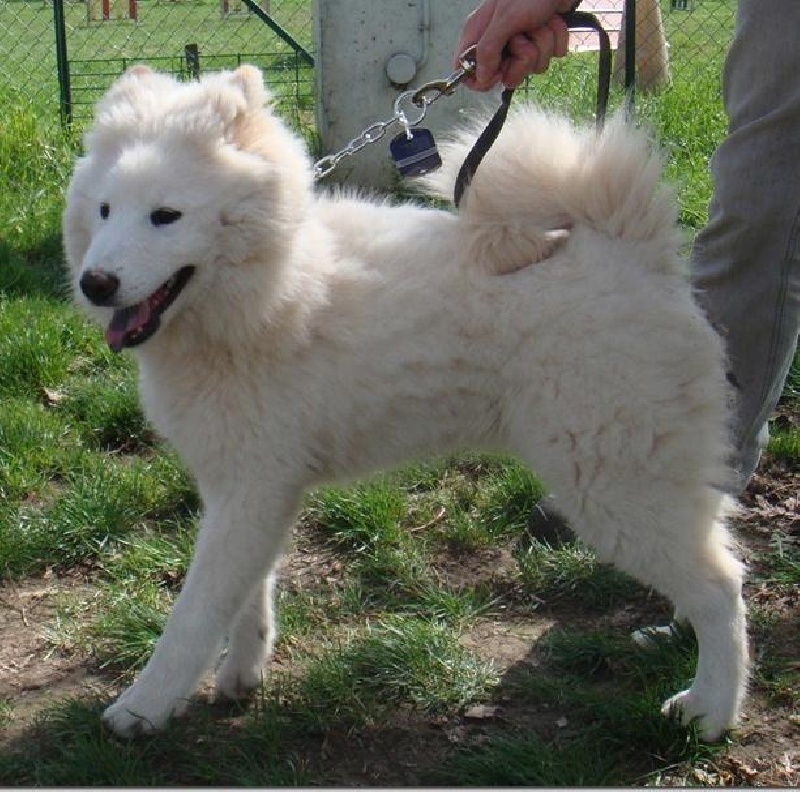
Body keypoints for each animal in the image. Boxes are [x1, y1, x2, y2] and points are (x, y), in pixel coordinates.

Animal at [63, 64, 748, 740]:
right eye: (104, 210)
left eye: (166, 215)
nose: (94, 283)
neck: (273, 291)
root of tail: (634, 251)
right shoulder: (245, 489)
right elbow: (245, 593)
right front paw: (241, 676)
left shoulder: (252, 487)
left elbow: (194, 612)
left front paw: (143, 707)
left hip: (615, 484)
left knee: (723, 588)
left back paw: (709, 711)